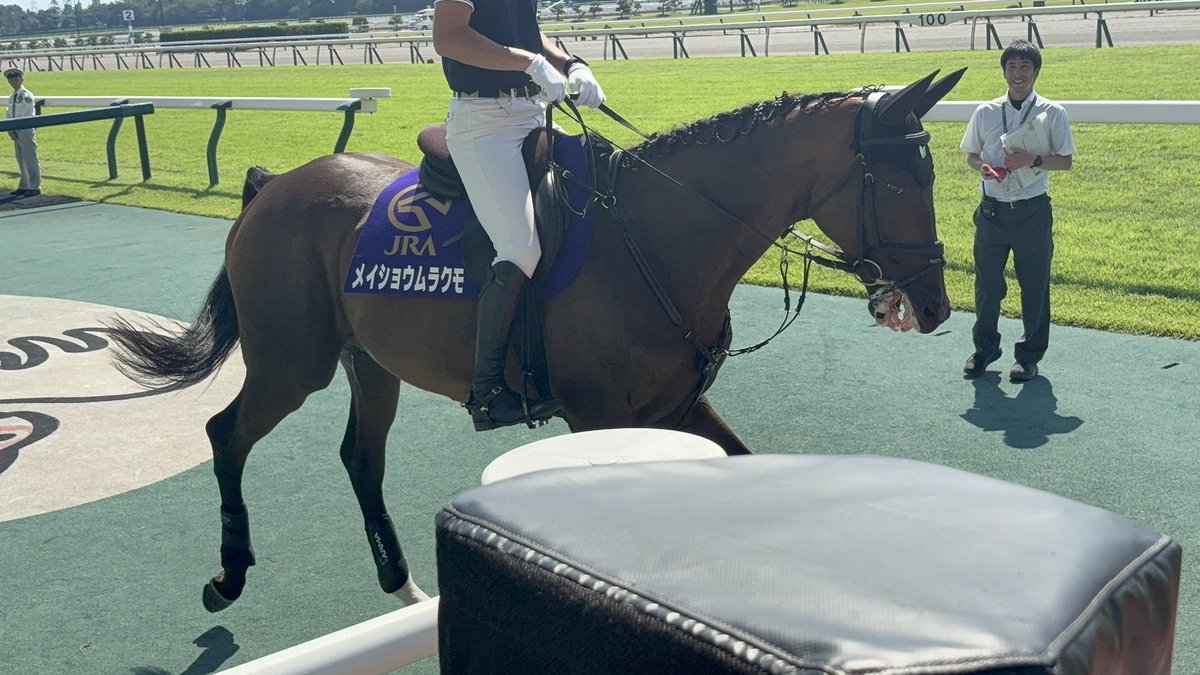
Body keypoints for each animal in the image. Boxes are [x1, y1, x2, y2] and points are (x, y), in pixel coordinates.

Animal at [106, 68, 966, 612]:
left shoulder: (678, 407)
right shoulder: (602, 419)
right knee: (226, 433)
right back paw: (228, 574)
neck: (656, 233)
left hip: (371, 363)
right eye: (903, 180)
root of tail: (272, 187)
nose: (933, 304)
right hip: (293, 365)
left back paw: (400, 582)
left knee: (359, 457)